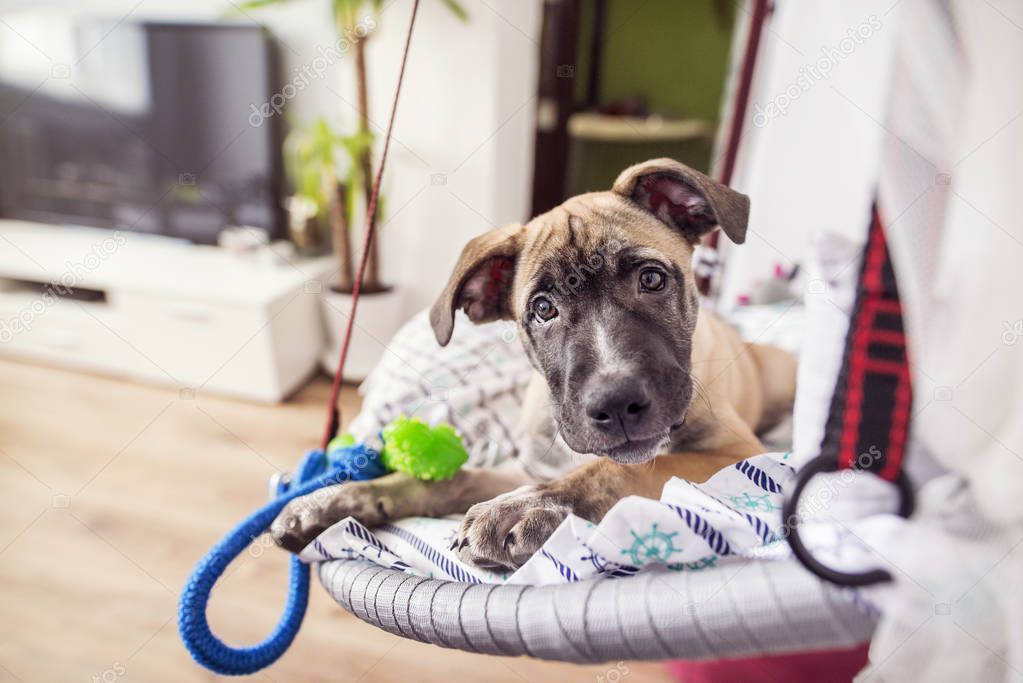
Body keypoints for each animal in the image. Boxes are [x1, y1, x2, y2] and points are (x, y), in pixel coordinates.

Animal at [274, 160, 797, 572]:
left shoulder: (731, 450)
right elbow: (449, 479)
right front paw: (330, 502)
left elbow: (618, 469)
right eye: (543, 309)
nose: (617, 404)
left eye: (651, 279)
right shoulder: (527, 465)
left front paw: (531, 509)